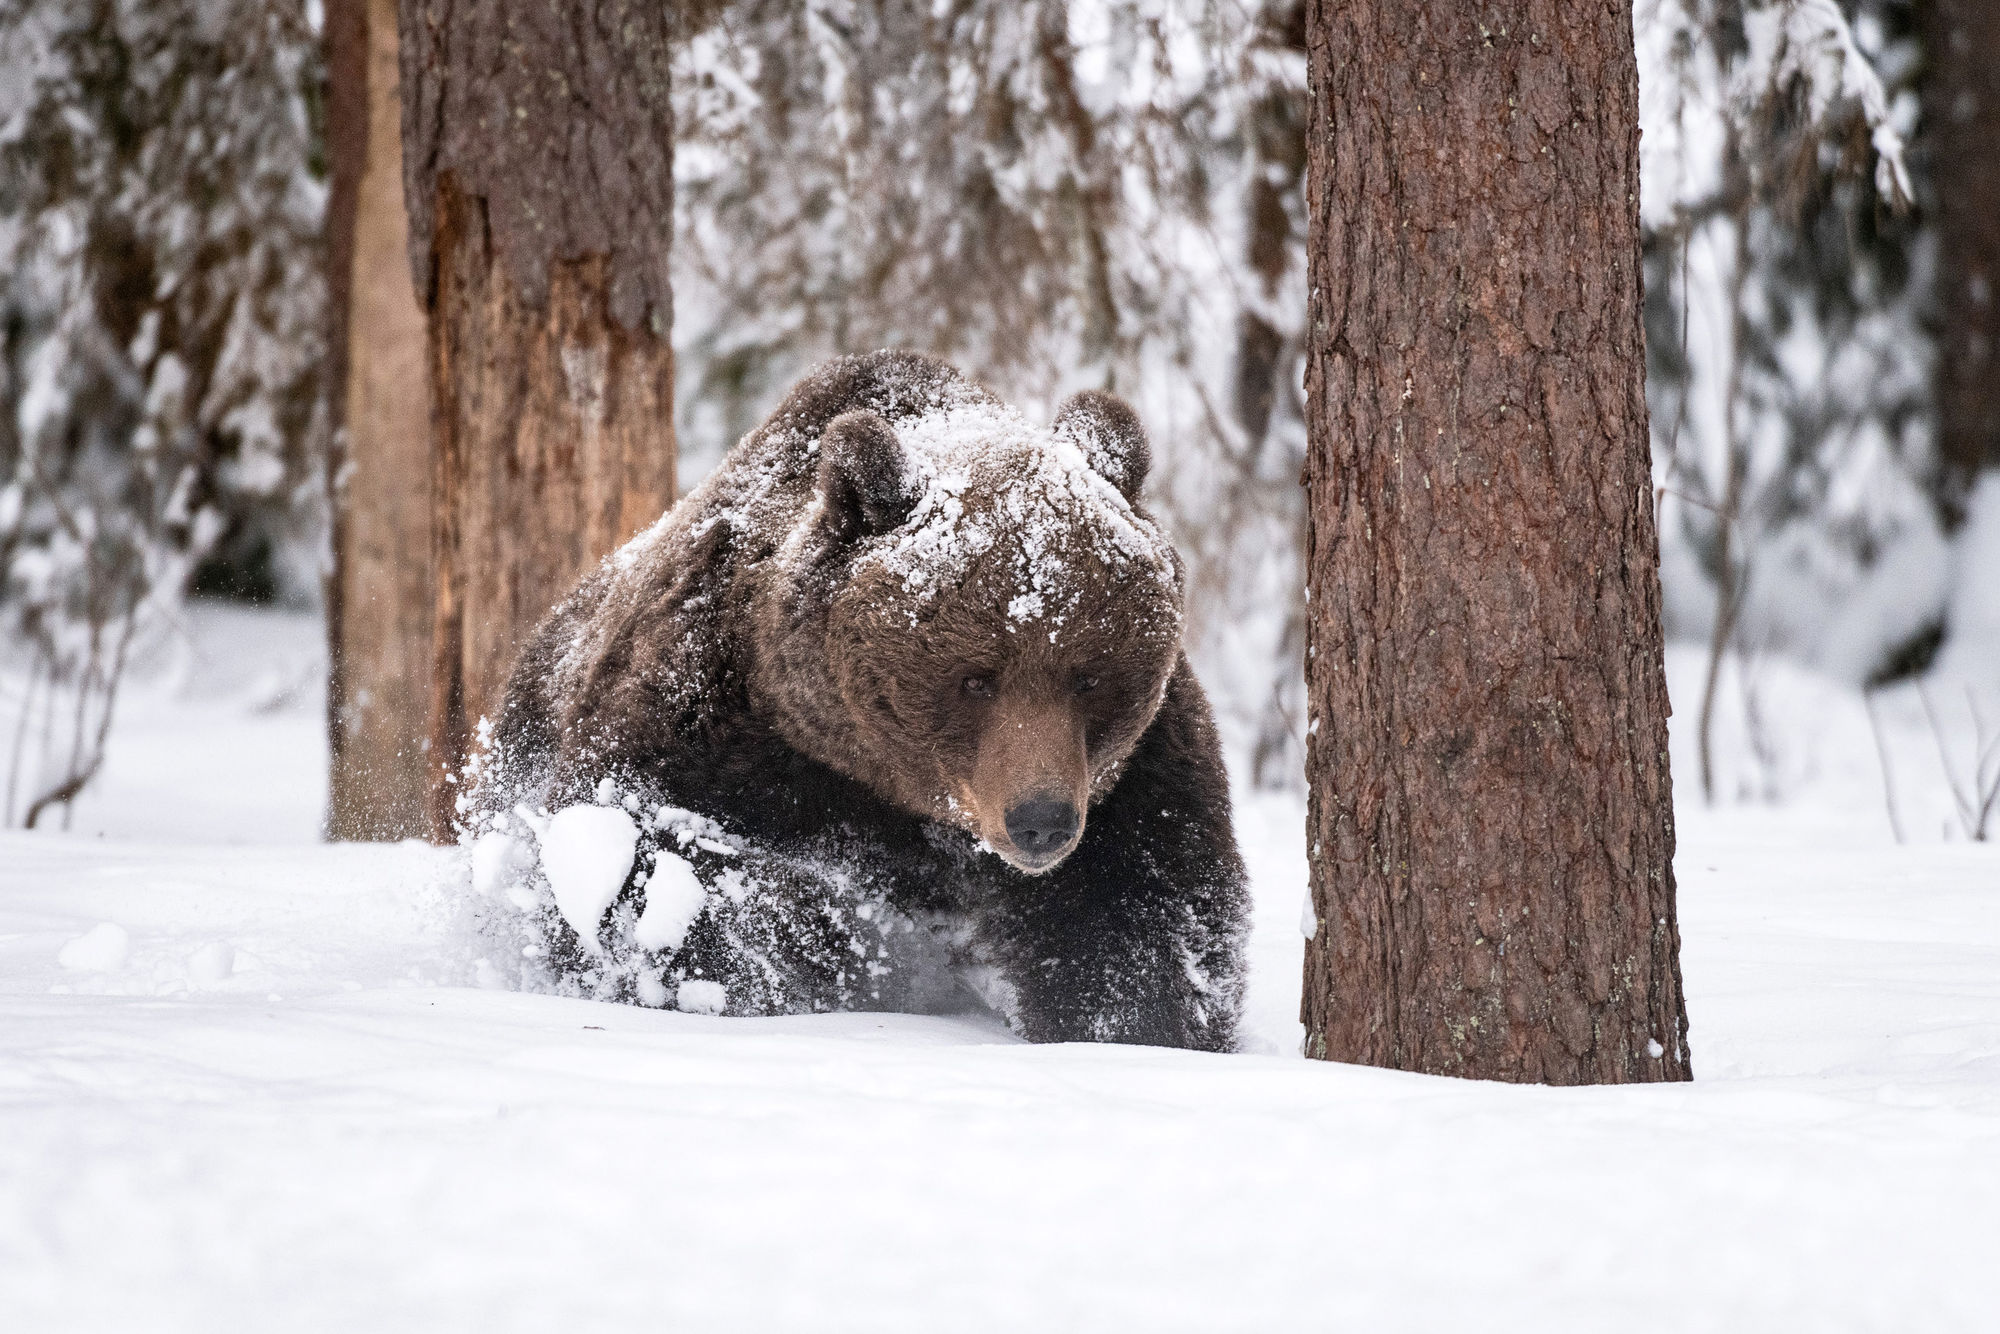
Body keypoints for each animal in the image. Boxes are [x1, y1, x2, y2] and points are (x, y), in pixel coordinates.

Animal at [467, 351, 1247, 1051]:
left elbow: (1143, 915)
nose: (1041, 822)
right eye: (977, 677)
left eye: (1089, 674)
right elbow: (639, 865)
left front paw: (1130, 1025)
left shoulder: (1135, 777)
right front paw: (819, 940)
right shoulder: (708, 717)